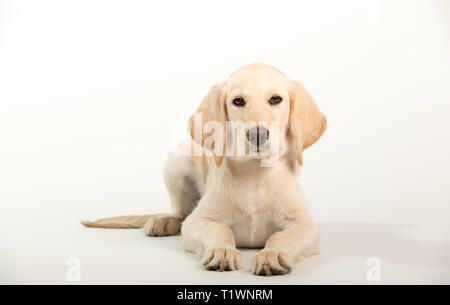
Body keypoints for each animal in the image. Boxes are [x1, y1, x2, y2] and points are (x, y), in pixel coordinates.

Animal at [81, 63, 326, 274]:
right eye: (238, 101)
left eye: (276, 99)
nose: (257, 135)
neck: (255, 172)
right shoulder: (198, 221)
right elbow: (219, 229)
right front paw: (222, 250)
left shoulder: (306, 225)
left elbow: (282, 236)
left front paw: (272, 254)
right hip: (177, 160)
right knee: (180, 213)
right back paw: (164, 221)